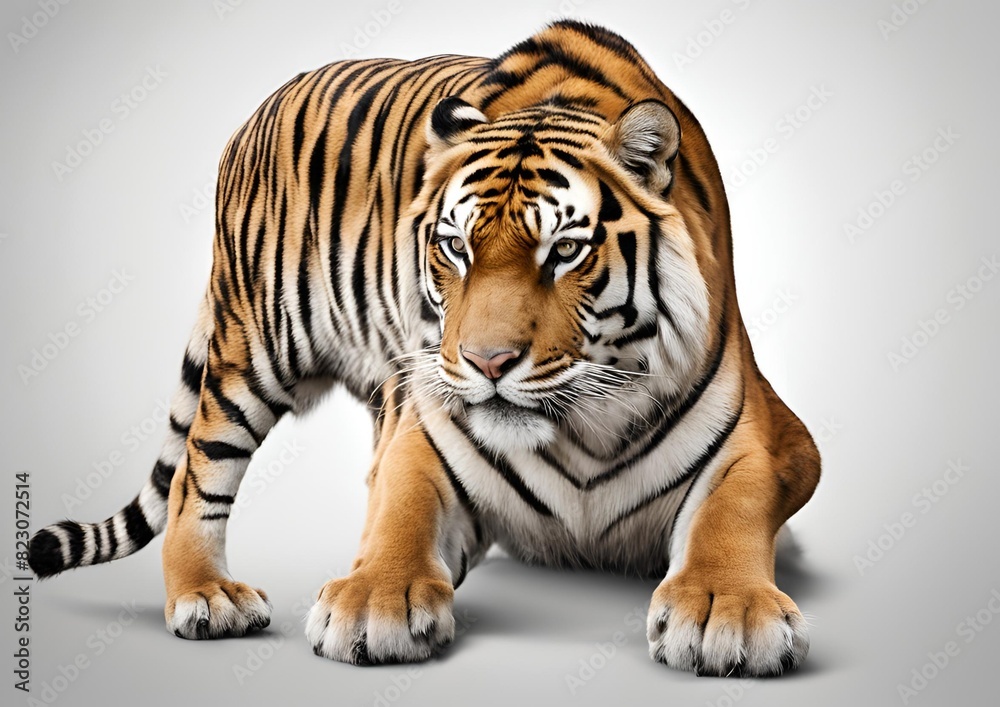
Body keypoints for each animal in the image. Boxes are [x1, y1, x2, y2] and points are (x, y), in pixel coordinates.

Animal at [28, 20, 820, 677]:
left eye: (565, 251)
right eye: (456, 248)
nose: (487, 362)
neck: (586, 425)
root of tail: (261, 108)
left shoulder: (768, 443)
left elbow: (730, 510)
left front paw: (725, 609)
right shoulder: (428, 432)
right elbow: (401, 508)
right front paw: (374, 601)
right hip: (254, 347)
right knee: (198, 467)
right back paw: (205, 596)